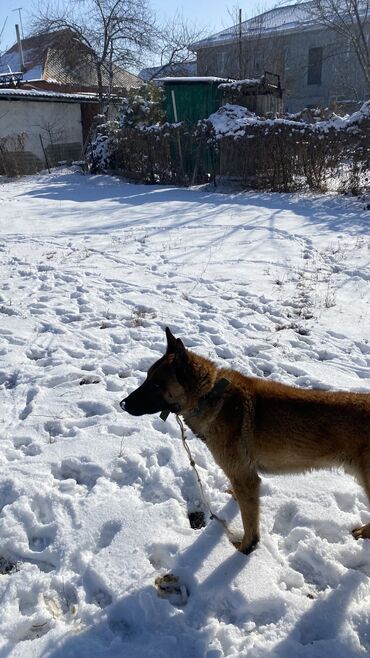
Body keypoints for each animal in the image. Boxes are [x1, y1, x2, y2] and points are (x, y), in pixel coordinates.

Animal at [121, 326, 370, 552]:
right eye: (147, 378)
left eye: (156, 385)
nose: (123, 404)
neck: (209, 396)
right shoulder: (242, 477)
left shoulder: (246, 479)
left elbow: (250, 524)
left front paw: (245, 548)